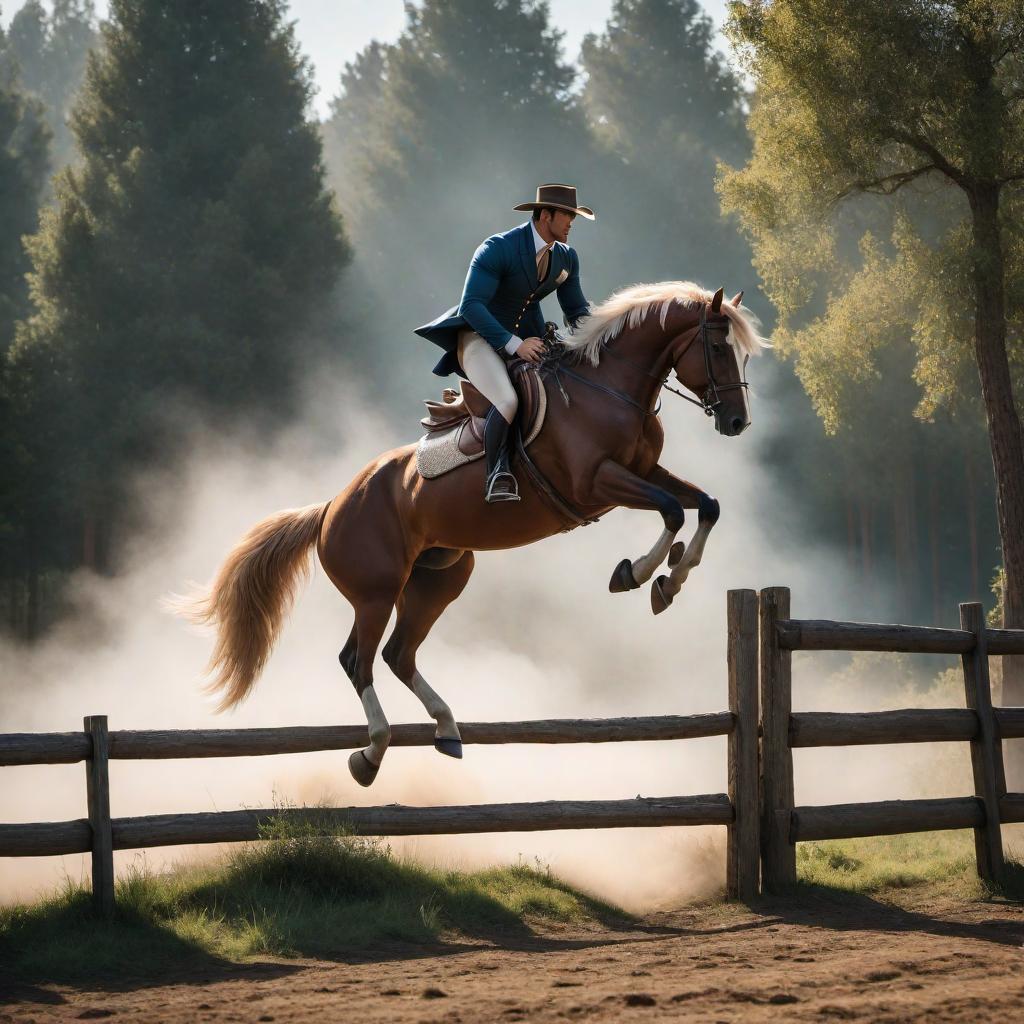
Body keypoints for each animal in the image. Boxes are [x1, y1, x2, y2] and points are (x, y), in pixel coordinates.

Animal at [180, 280, 765, 782]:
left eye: (744, 353)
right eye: (718, 346)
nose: (737, 423)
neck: (610, 389)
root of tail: (331, 507)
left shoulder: (644, 473)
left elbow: (704, 505)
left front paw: (671, 579)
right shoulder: (598, 481)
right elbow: (671, 511)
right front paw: (640, 574)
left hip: (440, 578)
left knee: (398, 655)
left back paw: (446, 728)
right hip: (376, 592)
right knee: (358, 661)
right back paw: (371, 753)